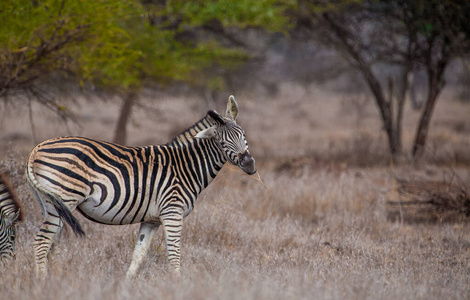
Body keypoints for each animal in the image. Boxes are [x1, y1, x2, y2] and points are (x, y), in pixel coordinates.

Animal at [26, 95, 258, 276]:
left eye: (244, 135)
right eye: (222, 142)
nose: (249, 164)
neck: (186, 166)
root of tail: (37, 148)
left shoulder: (151, 220)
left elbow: (138, 256)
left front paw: (126, 287)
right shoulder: (172, 213)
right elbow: (174, 256)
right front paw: (178, 287)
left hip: (49, 203)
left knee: (52, 243)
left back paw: (57, 279)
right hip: (63, 198)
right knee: (42, 242)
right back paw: (43, 283)